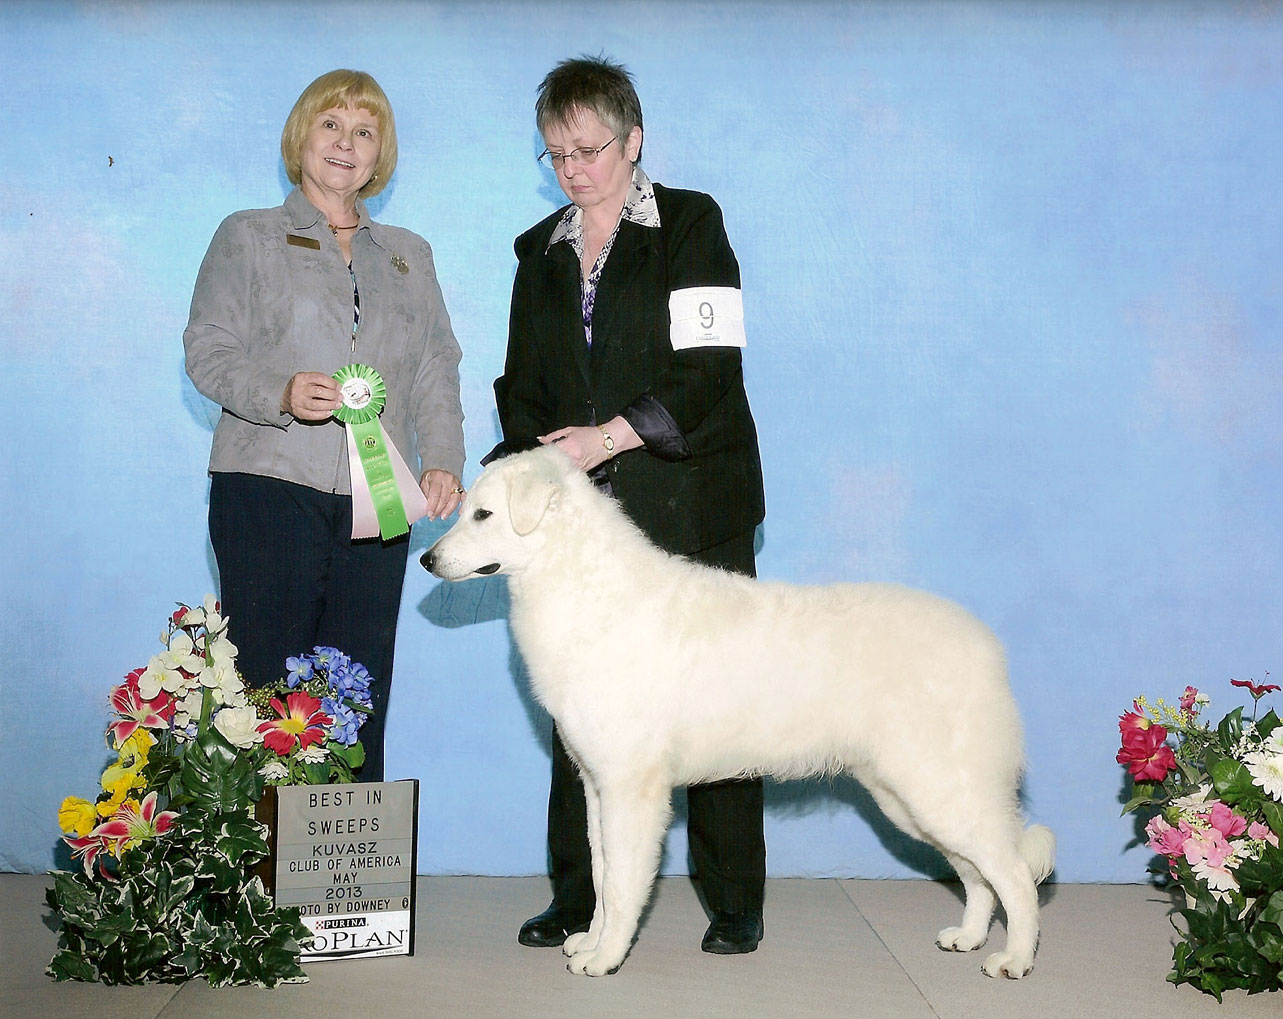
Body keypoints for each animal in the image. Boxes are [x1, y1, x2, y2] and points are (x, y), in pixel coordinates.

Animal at [420, 446, 1052, 975]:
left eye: (483, 515)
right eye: (465, 510)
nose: (427, 558)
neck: (585, 587)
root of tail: (985, 647)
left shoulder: (632, 791)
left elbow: (623, 887)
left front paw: (605, 960)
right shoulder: (598, 788)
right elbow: (601, 877)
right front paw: (589, 943)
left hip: (938, 792)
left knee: (1015, 876)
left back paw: (1014, 961)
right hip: (908, 799)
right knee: (978, 876)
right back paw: (968, 938)